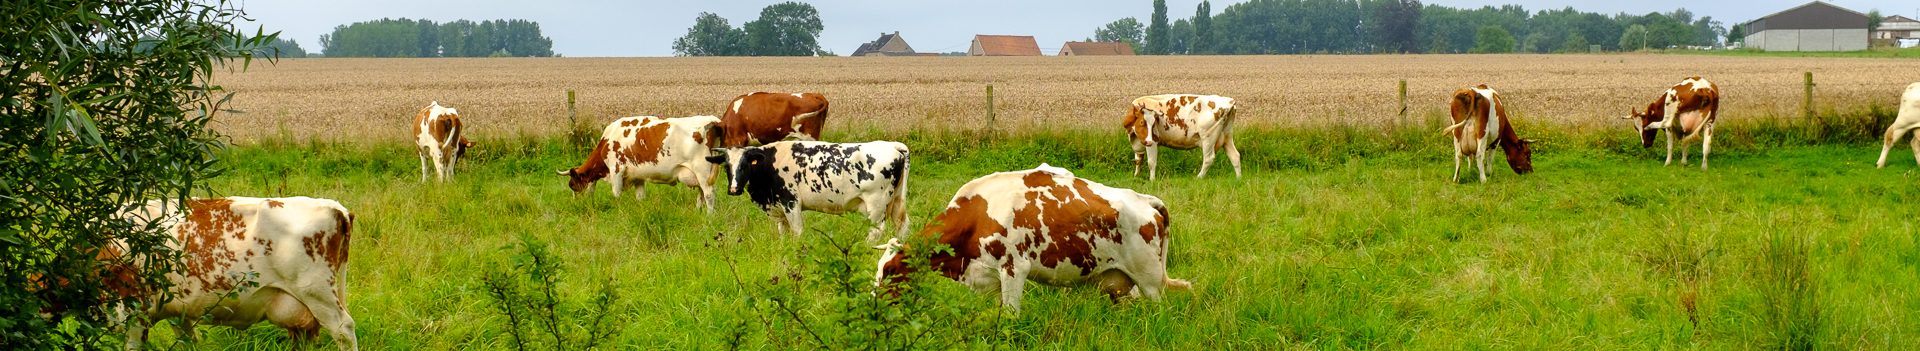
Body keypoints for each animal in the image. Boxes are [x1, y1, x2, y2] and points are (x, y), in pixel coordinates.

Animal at [564, 116, 729, 212]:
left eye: (572, 185)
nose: (576, 205)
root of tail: (714, 121)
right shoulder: (638, 177)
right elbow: (640, 197)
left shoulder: (616, 170)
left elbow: (616, 194)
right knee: (701, 193)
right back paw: (698, 212)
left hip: (703, 170)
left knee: (708, 194)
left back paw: (709, 216)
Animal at [710, 140, 910, 243]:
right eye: (727, 166)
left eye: (744, 165)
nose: (734, 189)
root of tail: (893, 145)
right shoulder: (779, 208)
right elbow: (783, 232)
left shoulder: (791, 202)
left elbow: (797, 231)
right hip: (895, 201)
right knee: (903, 225)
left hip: (876, 205)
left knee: (876, 231)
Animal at [875, 164, 1198, 312]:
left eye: (890, 270)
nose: (873, 305)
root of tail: (1144, 198)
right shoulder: (989, 278)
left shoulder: (1014, 268)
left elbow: (1011, 315)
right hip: (1120, 284)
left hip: (1150, 281)